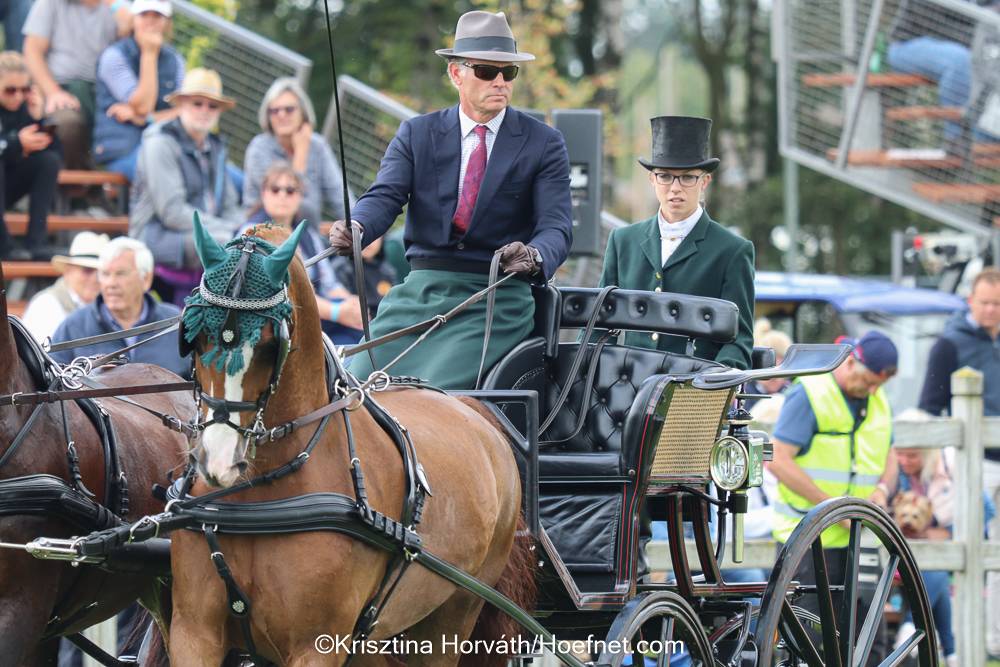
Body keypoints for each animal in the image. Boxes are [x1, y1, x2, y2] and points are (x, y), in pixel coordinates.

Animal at [167, 220, 532, 666]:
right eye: (195, 337)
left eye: (271, 345)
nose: (219, 461)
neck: (257, 496)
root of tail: (470, 407)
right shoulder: (193, 632)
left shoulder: (317, 644)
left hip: (454, 614)